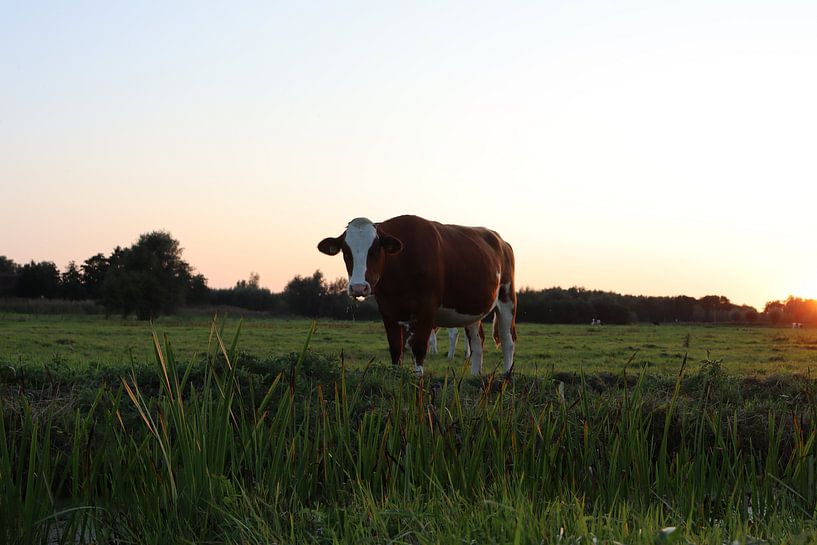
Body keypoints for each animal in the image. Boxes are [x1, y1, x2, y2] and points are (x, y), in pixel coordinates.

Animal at [318, 215, 516, 375]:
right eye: (346, 252)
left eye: (375, 249)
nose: (359, 287)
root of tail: (501, 241)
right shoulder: (387, 309)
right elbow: (396, 347)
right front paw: (396, 376)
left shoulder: (427, 307)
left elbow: (419, 346)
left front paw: (417, 380)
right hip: (471, 308)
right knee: (477, 341)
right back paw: (475, 376)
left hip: (507, 299)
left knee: (507, 340)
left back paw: (506, 376)